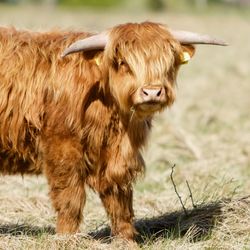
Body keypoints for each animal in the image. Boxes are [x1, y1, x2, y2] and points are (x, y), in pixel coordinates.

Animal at [0, 22, 227, 240]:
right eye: (123, 62)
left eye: (168, 62)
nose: (152, 92)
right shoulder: (62, 148)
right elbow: (70, 199)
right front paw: (67, 239)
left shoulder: (118, 157)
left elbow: (119, 200)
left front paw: (126, 240)